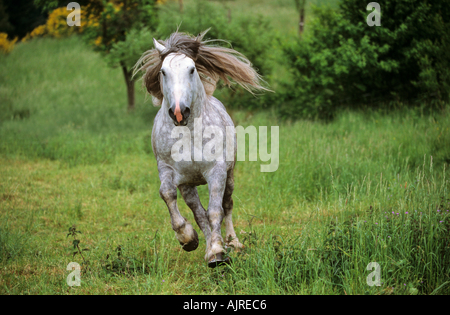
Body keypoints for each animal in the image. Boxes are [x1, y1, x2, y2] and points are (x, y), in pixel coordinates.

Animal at [134, 29, 268, 268]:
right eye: (163, 71)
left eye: (192, 69)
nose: (179, 112)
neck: (188, 134)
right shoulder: (169, 171)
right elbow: (169, 195)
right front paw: (189, 239)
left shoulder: (216, 171)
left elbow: (216, 211)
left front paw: (219, 252)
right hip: (189, 186)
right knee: (199, 213)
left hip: (229, 175)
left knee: (228, 204)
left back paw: (233, 242)